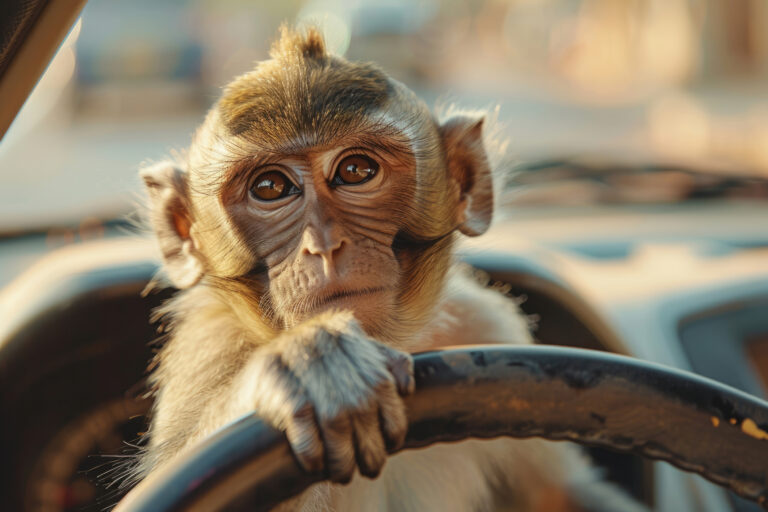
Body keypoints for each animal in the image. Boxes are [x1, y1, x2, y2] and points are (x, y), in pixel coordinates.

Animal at [119, 26, 647, 512]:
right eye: (270, 187)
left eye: (356, 171)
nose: (324, 247)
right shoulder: (207, 350)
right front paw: (313, 364)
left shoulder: (486, 327)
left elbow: (556, 496)